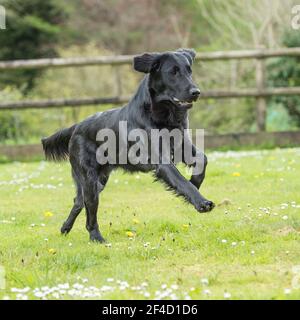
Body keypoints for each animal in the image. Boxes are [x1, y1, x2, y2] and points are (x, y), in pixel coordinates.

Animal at [42, 48, 216, 242]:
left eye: (189, 70)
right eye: (173, 72)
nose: (196, 92)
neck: (164, 115)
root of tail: (76, 126)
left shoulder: (182, 146)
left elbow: (202, 159)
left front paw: (195, 182)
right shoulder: (161, 161)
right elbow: (181, 181)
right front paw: (201, 202)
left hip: (98, 181)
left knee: (79, 201)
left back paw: (65, 228)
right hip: (90, 179)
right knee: (89, 209)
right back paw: (96, 238)